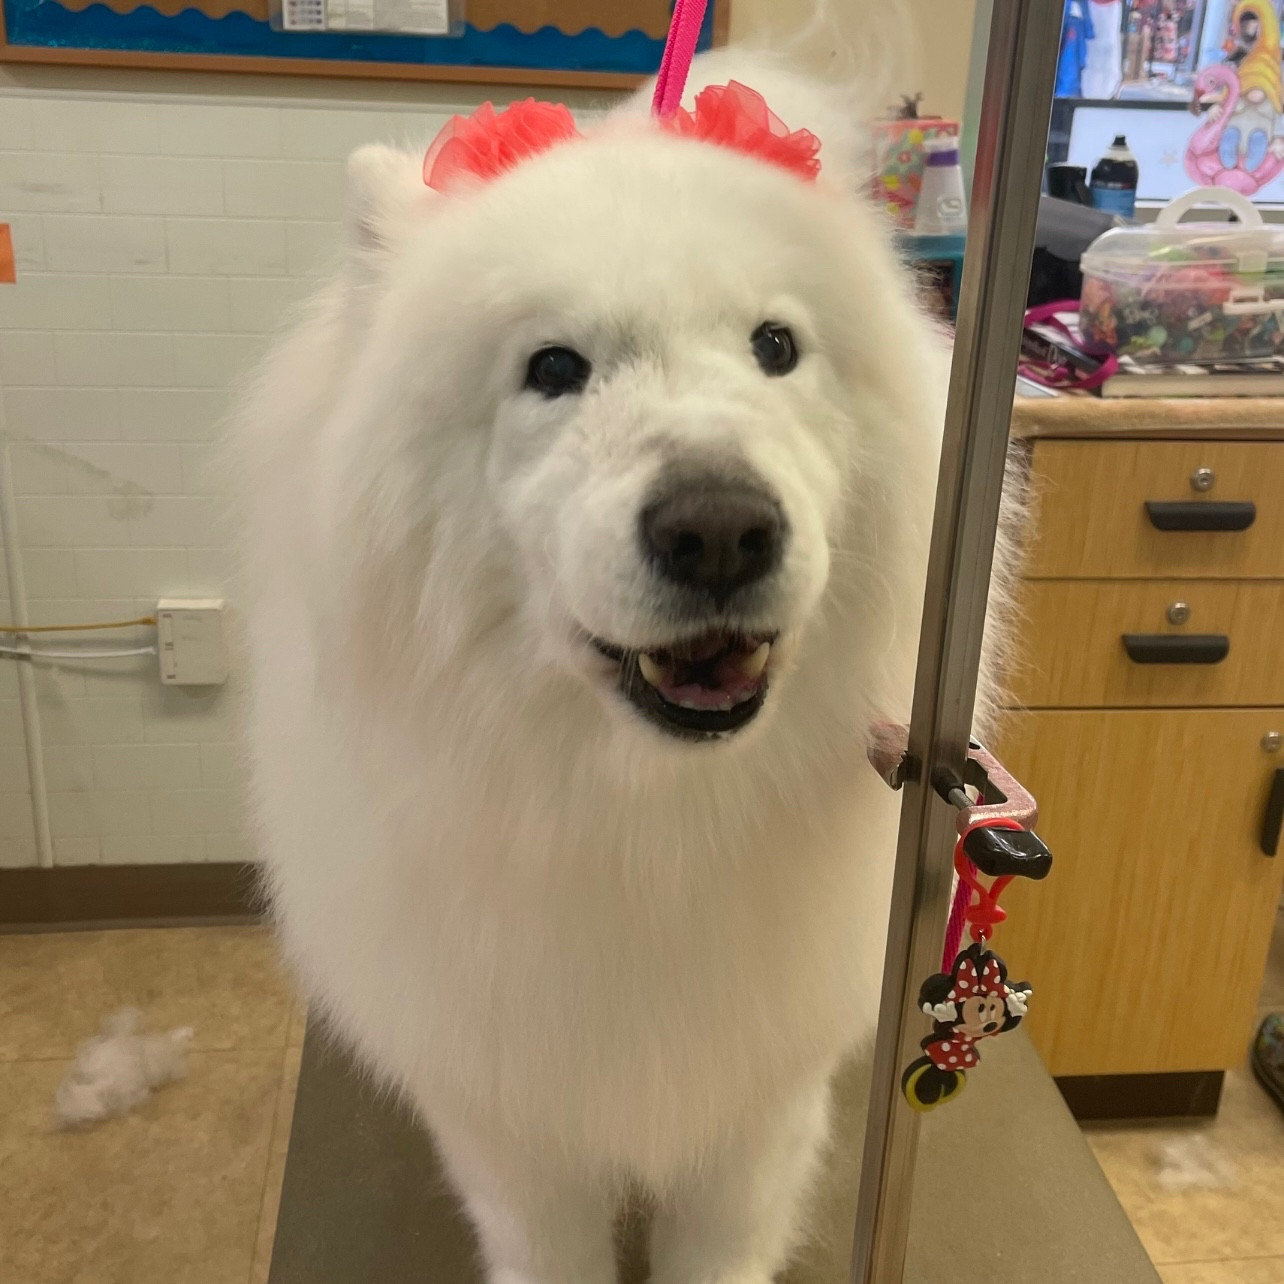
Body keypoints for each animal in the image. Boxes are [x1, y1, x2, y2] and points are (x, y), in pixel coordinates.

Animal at [236, 45, 1006, 1284]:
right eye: (553, 367)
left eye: (776, 347)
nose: (722, 531)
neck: (645, 818)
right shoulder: (513, 1118)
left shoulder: (755, 1113)